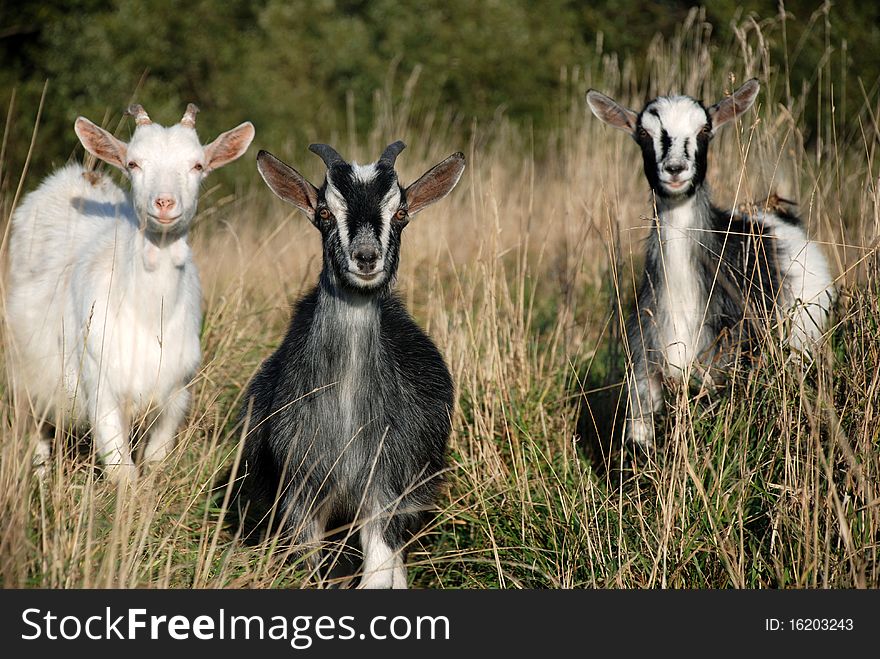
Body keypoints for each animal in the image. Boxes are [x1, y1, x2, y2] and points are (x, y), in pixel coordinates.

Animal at [6, 104, 254, 484]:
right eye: (134, 164)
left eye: (197, 165)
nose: (164, 203)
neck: (148, 316)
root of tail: (81, 176)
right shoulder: (100, 390)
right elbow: (122, 473)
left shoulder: (176, 393)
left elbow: (156, 460)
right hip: (27, 368)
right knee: (37, 426)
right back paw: (41, 477)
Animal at [232, 141, 468, 588]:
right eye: (324, 212)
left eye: (401, 213)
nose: (366, 258)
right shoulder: (300, 492)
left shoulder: (388, 488)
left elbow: (378, 575)